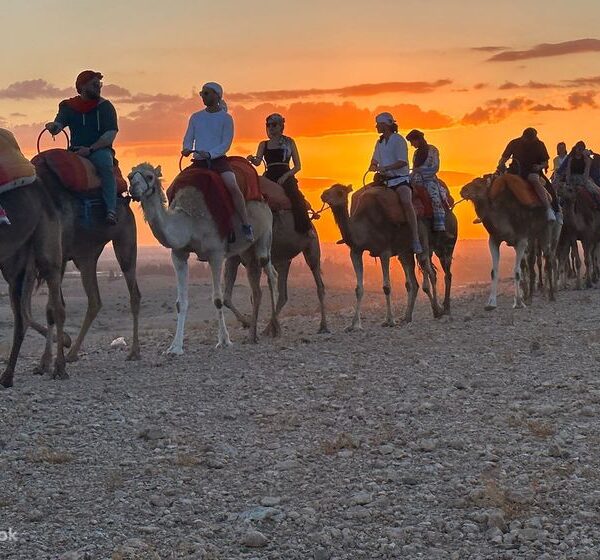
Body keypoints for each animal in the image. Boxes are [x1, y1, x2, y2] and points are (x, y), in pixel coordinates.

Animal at [0, 182, 66, 388]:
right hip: (15, 267)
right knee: (21, 317)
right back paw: (7, 376)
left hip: (48, 249)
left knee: (57, 308)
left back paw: (60, 368)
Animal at [31, 156, 141, 364]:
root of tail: (125, 200)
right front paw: (52, 354)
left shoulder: (56, 257)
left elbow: (51, 307)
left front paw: (52, 354)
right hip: (86, 255)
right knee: (94, 300)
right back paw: (73, 353)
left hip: (125, 238)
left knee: (133, 292)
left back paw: (134, 352)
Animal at [129, 163, 278, 354]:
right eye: (130, 176)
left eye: (149, 176)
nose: (133, 188)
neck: (189, 223)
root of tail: (263, 199)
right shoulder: (178, 254)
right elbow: (180, 302)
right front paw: (175, 347)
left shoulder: (215, 254)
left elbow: (217, 299)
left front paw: (224, 341)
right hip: (245, 250)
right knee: (259, 279)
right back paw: (253, 334)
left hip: (265, 236)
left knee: (271, 272)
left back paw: (274, 327)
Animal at [322, 186, 442, 330]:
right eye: (329, 188)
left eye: (339, 192)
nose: (323, 195)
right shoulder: (355, 251)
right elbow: (358, 289)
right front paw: (354, 325)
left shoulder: (384, 251)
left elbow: (386, 287)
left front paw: (389, 320)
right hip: (405, 252)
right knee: (413, 283)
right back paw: (408, 317)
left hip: (422, 240)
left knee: (430, 271)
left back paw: (438, 310)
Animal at [462, 174, 560, 310]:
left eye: (478, 184)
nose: (462, 190)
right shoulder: (494, 239)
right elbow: (494, 271)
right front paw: (491, 303)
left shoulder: (521, 239)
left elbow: (517, 271)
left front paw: (518, 302)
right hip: (532, 237)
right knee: (532, 262)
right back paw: (529, 297)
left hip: (546, 231)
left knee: (548, 258)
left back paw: (551, 295)